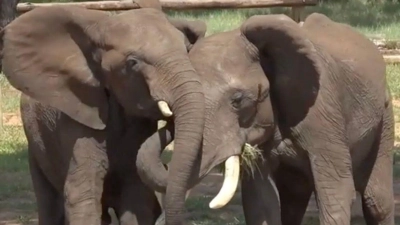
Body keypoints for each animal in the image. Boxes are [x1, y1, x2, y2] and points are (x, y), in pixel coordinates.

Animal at [2, 2, 209, 225]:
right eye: (133, 63)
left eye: (187, 50)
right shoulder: (75, 122)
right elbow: (82, 195)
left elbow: (136, 200)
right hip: (37, 145)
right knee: (50, 205)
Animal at [137, 12, 394, 225]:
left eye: (238, 100)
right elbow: (261, 200)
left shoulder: (324, 111)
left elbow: (336, 191)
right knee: (294, 200)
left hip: (385, 114)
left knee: (376, 201)